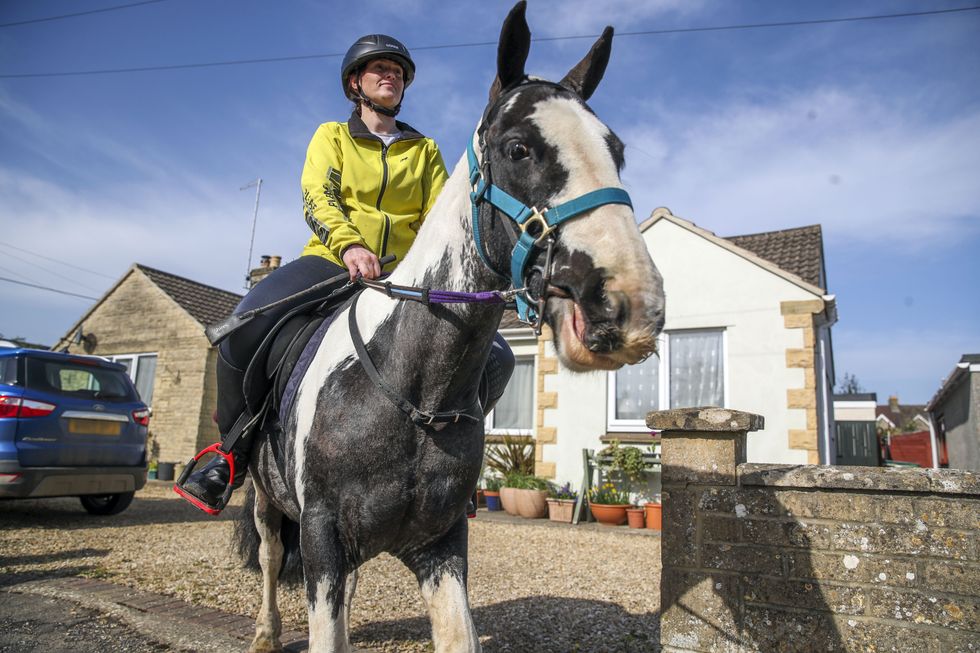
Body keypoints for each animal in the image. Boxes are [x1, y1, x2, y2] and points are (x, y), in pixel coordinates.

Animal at [237, 3, 665, 652]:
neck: (410, 390)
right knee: (265, 554)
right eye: (518, 148)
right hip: (266, 497)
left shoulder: (439, 545)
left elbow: (454, 632)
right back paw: (264, 632)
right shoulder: (321, 537)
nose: (631, 305)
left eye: (614, 149)